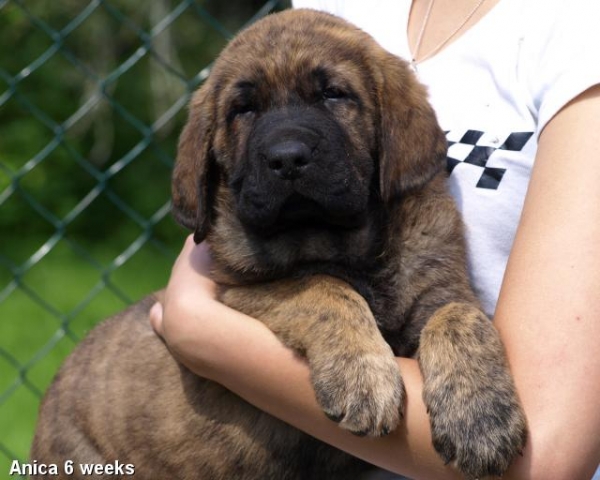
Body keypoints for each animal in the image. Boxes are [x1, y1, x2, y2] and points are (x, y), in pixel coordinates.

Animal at [31, 8, 524, 480]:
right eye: (243, 110)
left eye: (334, 95)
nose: (287, 158)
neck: (344, 247)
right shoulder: (239, 294)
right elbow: (322, 289)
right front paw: (362, 377)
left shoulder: (441, 290)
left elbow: (458, 319)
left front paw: (481, 418)